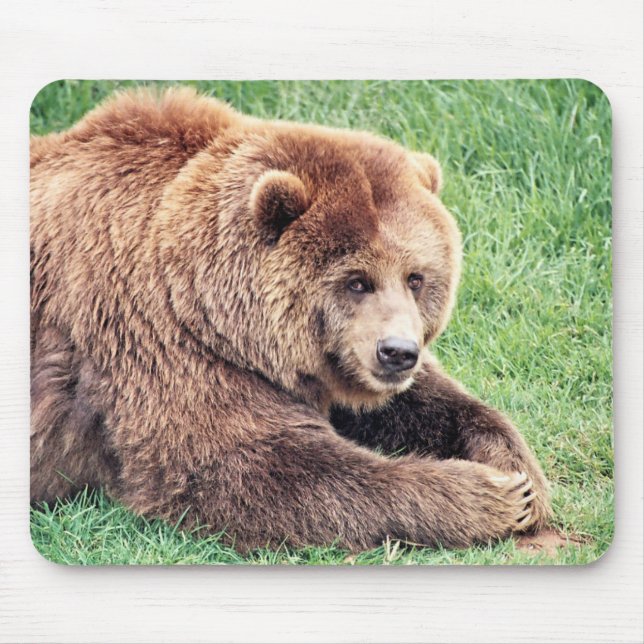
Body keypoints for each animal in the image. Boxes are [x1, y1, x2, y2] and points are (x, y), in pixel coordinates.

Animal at [30, 86, 551, 552]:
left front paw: (519, 474)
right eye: (357, 281)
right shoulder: (157, 340)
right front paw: (490, 494)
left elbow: (423, 403)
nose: (397, 352)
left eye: (416, 277)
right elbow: (251, 467)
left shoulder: (329, 362)